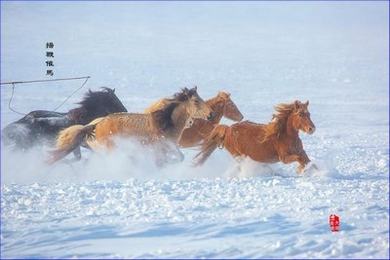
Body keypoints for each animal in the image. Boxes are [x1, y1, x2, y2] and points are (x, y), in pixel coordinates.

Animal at [49, 87, 215, 165]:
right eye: (196, 101)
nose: (211, 115)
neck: (165, 122)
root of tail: (94, 126)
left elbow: (179, 157)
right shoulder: (161, 147)